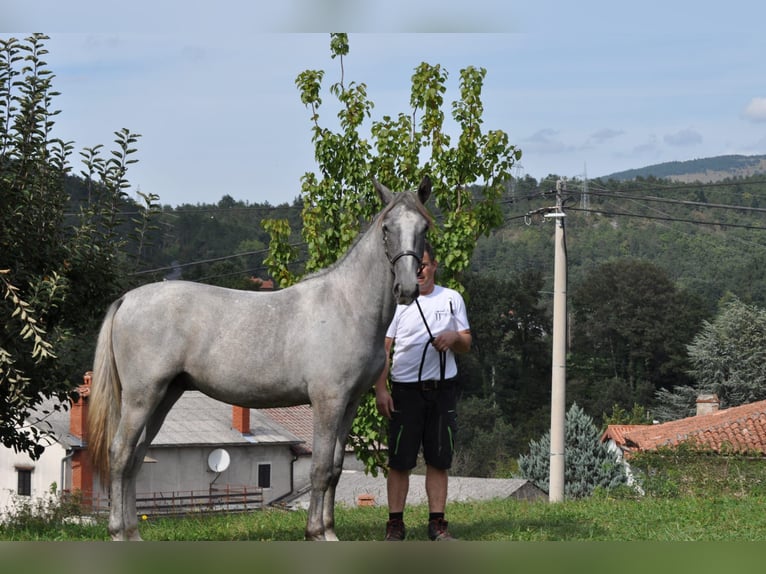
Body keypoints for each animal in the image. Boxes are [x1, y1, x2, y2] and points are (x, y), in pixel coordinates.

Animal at [88, 178, 436, 544]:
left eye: (423, 227)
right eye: (386, 227)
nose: (407, 288)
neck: (347, 304)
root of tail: (127, 299)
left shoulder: (349, 403)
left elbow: (336, 467)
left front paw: (329, 530)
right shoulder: (328, 401)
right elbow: (321, 468)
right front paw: (315, 532)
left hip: (164, 396)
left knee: (136, 457)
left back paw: (132, 533)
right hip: (142, 397)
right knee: (120, 454)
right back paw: (118, 533)